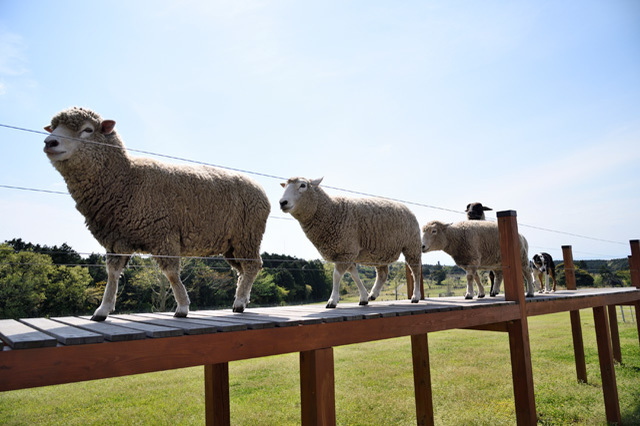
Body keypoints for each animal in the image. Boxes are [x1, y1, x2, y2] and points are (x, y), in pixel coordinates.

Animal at [43, 106, 270, 320]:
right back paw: (243, 298)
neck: (126, 179)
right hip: (231, 243)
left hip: (247, 235)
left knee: (252, 266)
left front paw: (182, 307)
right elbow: (113, 275)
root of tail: (260, 189)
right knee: (244, 269)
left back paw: (239, 302)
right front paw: (103, 309)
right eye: (53, 127)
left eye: (88, 130)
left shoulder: (164, 234)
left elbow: (171, 273)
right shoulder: (117, 240)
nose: (49, 142)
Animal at [278, 176, 422, 306]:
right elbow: (354, 275)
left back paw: (415, 296)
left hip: (411, 246)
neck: (330, 211)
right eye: (284, 186)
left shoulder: (346, 249)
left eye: (303, 185)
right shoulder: (347, 251)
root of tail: (407, 208)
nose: (282, 202)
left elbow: (336, 275)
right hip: (381, 251)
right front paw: (363, 297)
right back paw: (373, 294)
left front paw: (332, 300)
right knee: (383, 274)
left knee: (415, 271)